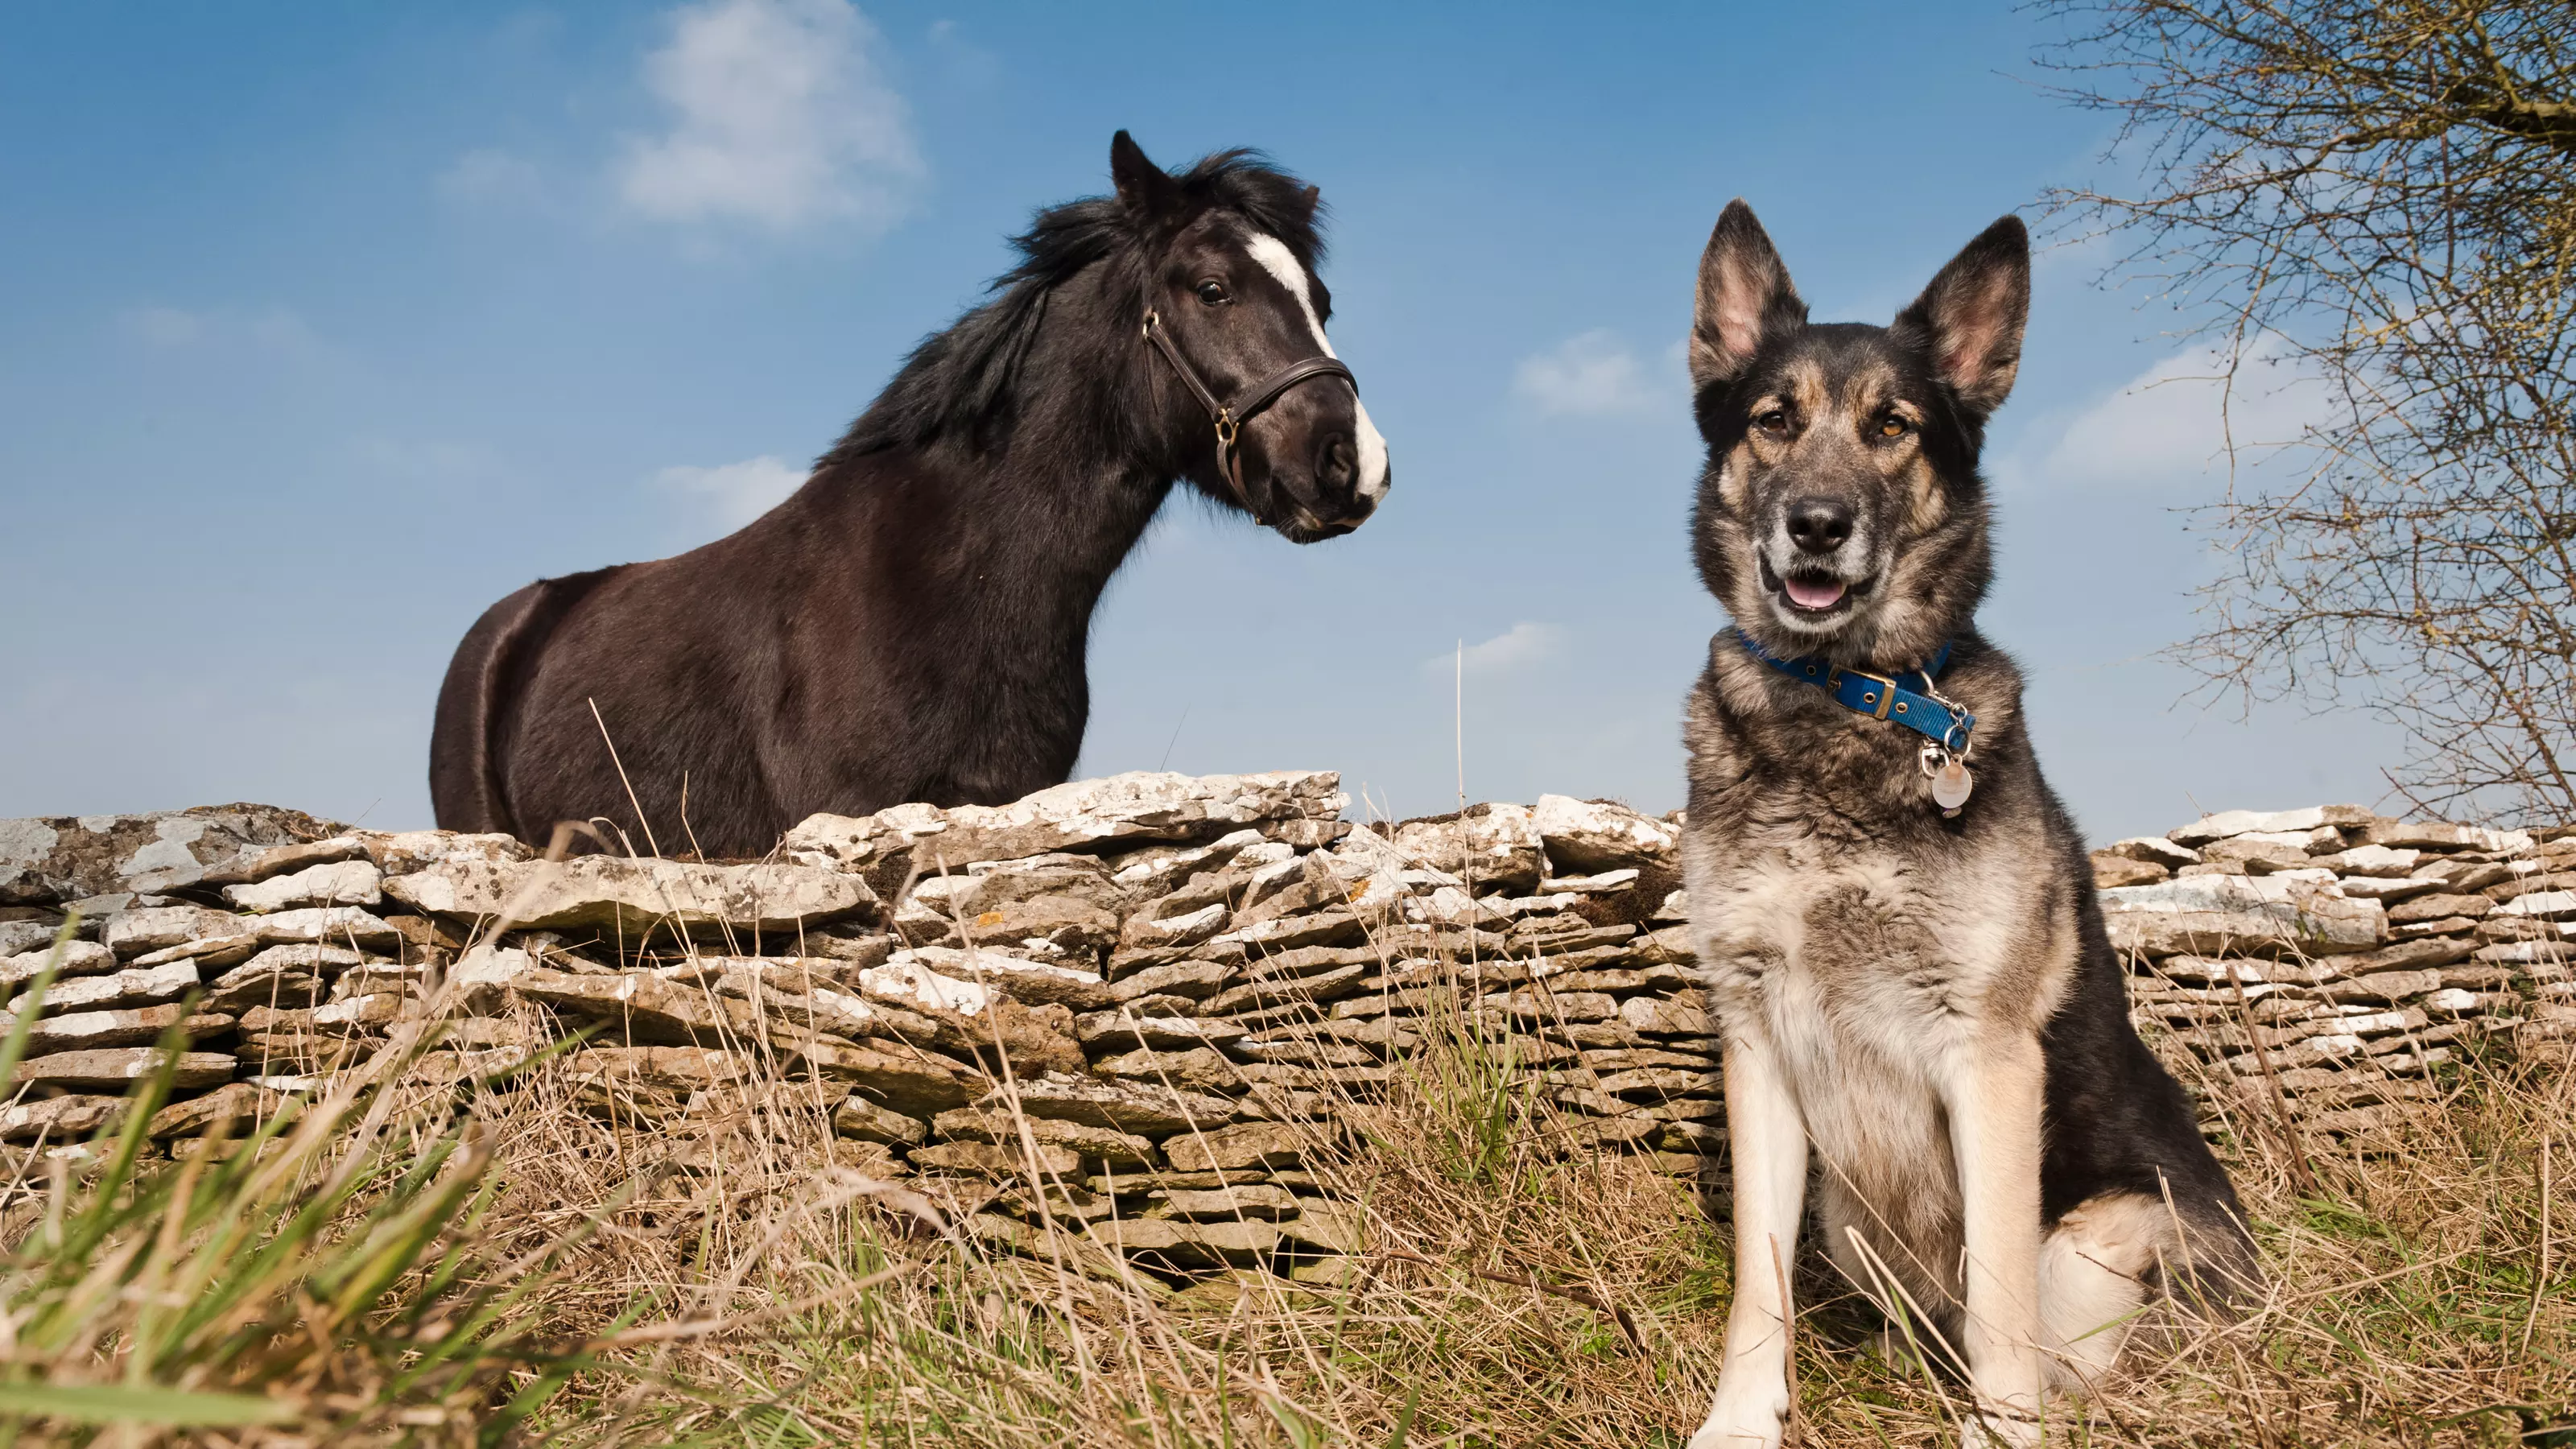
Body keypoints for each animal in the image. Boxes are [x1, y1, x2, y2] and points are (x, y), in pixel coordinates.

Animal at [1669, 206, 2256, 1443]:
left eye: (1891, 427)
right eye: (1772, 420)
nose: (1818, 526)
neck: (1845, 703)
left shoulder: (1986, 1057)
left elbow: (1998, 1296)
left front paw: (2003, 1428)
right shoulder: (1756, 1043)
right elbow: (1757, 1279)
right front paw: (1740, 1419)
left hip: (2102, 1237)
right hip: (1849, 1215)